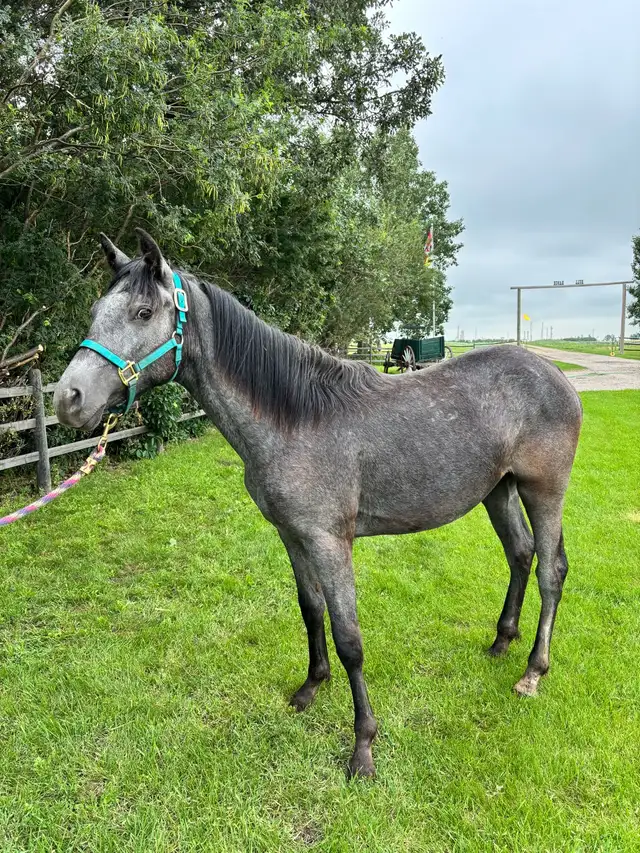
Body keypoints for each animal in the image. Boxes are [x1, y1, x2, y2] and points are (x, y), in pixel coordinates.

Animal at [54, 228, 583, 778]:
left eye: (142, 312)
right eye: (96, 310)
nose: (67, 398)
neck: (295, 419)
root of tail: (554, 373)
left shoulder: (331, 542)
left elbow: (350, 638)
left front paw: (363, 746)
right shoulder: (293, 535)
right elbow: (311, 610)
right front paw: (311, 686)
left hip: (543, 490)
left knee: (551, 570)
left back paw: (533, 672)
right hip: (498, 490)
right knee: (520, 554)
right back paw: (502, 641)